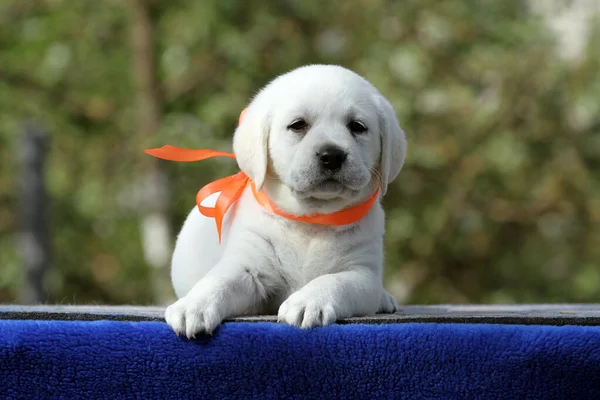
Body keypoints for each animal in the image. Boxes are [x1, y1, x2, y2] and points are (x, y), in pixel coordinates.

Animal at [164, 63, 408, 338]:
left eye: (357, 126)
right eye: (297, 125)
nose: (332, 155)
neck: (313, 219)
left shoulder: (361, 274)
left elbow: (333, 281)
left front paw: (308, 302)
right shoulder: (249, 266)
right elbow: (217, 282)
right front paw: (193, 306)